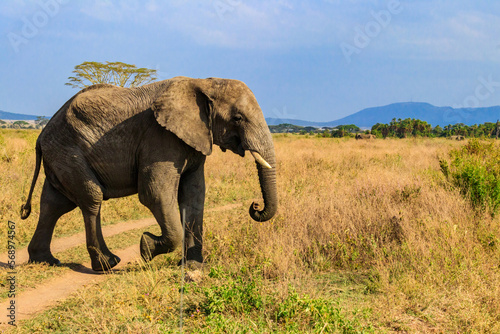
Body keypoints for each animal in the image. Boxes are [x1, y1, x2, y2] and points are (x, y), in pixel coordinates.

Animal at [20, 76, 278, 272]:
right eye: (238, 118)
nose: (255, 206)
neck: (203, 83)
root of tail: (41, 136)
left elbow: (194, 197)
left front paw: (193, 267)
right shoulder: (159, 138)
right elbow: (155, 194)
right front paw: (146, 247)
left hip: (59, 156)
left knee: (54, 204)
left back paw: (45, 260)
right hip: (68, 153)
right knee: (91, 199)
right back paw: (107, 264)